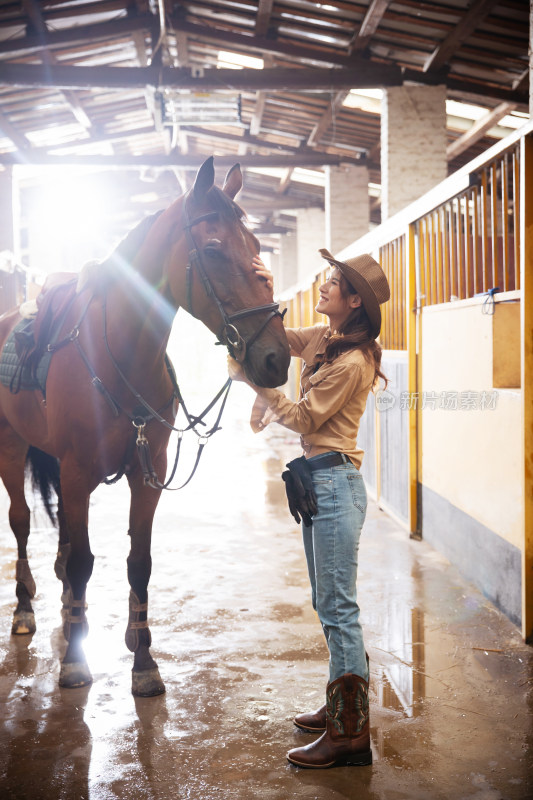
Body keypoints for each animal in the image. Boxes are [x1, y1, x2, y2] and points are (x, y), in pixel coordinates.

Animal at [0, 156, 288, 692]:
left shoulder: (145, 471)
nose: (276, 358)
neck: (119, 353)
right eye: (213, 249)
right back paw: (26, 610)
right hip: (11, 450)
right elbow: (85, 562)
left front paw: (144, 661)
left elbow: (138, 563)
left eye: (258, 248)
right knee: (23, 523)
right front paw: (75, 662)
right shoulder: (77, 472)